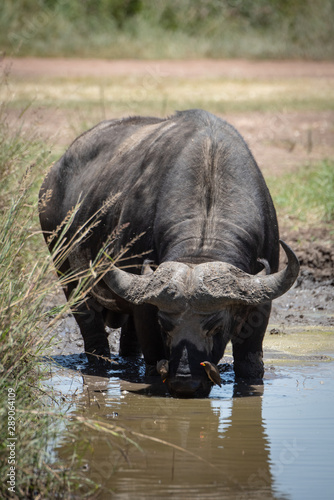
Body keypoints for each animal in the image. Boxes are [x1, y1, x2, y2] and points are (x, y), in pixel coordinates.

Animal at [39, 109, 300, 398]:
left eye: (216, 326)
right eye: (165, 325)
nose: (186, 382)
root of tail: (53, 176)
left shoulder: (261, 303)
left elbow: (250, 363)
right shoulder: (145, 309)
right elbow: (153, 355)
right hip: (67, 273)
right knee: (90, 324)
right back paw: (100, 364)